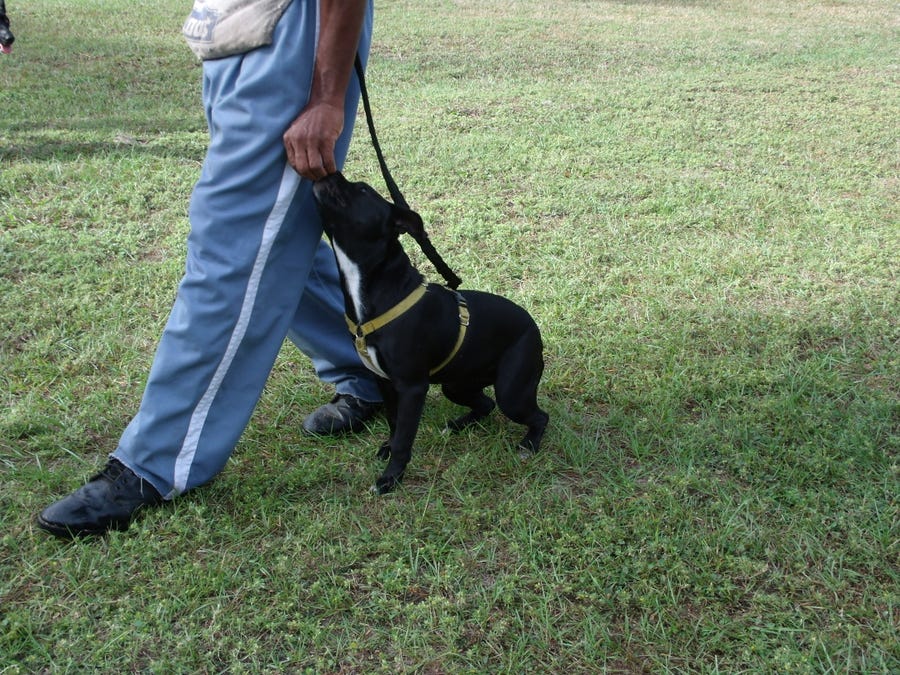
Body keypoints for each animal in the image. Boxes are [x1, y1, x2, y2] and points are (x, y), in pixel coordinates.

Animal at [310, 172, 548, 494]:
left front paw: (390, 477)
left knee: (537, 415)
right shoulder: (385, 382)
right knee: (486, 403)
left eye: (362, 190)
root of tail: (533, 328)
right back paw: (459, 424)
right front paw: (387, 449)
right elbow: (394, 422)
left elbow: (404, 437)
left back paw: (529, 445)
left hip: (512, 391)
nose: (329, 173)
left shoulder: (412, 387)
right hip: (456, 385)